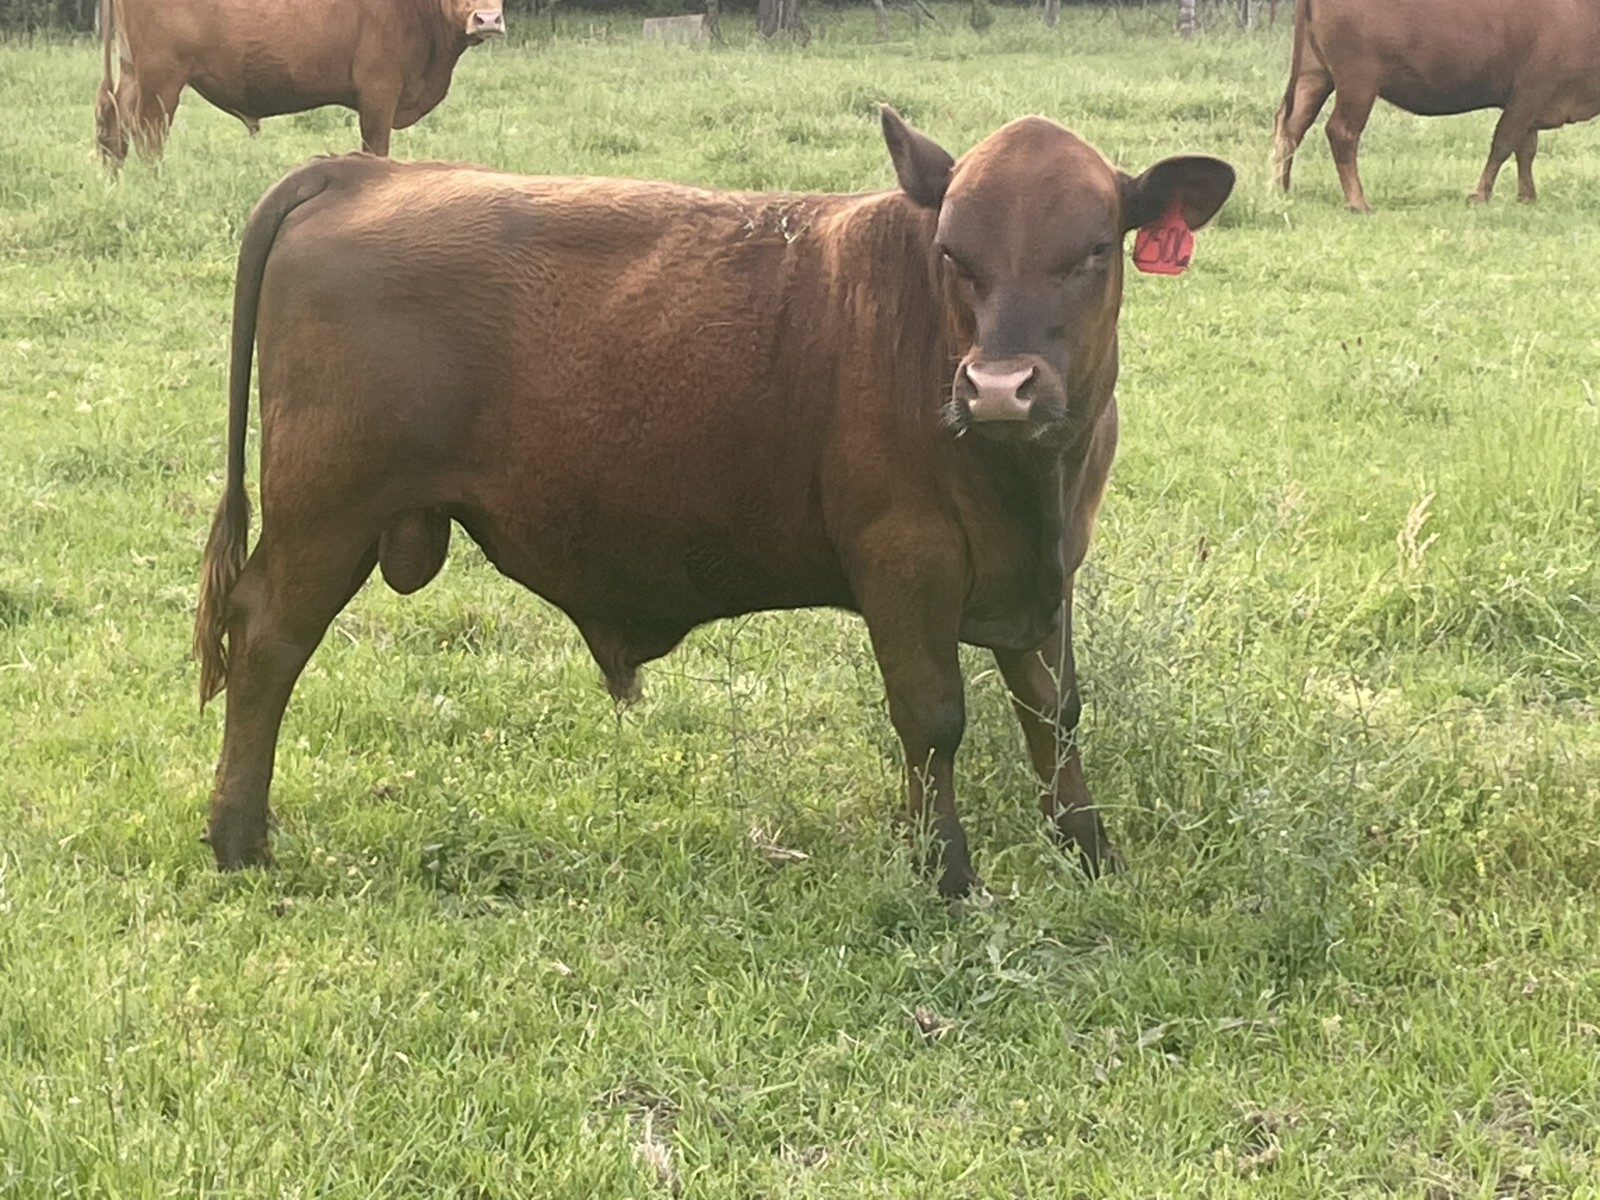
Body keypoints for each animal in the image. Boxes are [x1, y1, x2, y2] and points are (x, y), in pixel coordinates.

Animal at [95, 0, 505, 167]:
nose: (487, 19)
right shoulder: (379, 90)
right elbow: (376, 148)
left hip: (133, 71)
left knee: (116, 129)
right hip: (160, 77)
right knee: (149, 137)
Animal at [193, 111, 1234, 898]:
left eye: (1094, 250)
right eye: (953, 252)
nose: (999, 389)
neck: (1028, 483)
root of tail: (360, 172)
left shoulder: (1049, 574)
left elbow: (1057, 714)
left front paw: (1091, 853)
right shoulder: (907, 558)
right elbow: (933, 717)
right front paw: (946, 876)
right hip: (325, 515)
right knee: (268, 641)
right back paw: (240, 839)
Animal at [1273, 0, 1600, 212]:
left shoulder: (1531, 103)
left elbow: (1526, 150)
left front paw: (1527, 197)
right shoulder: (1530, 92)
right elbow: (1504, 143)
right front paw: (1480, 196)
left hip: (1314, 74)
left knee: (1290, 126)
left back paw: (1280, 189)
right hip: (1358, 81)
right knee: (1341, 132)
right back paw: (1357, 202)